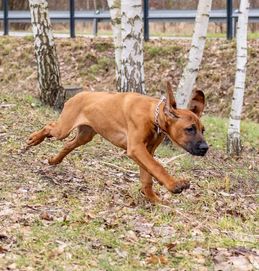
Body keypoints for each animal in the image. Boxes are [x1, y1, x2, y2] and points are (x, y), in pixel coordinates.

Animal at [27, 83, 208, 204]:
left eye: (203, 130)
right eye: (190, 129)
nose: (205, 148)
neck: (153, 115)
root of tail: (78, 95)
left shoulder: (147, 151)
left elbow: (147, 177)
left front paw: (153, 199)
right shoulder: (136, 148)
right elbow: (157, 167)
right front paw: (174, 185)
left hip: (85, 136)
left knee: (68, 145)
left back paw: (54, 160)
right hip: (63, 128)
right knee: (50, 127)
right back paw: (35, 139)